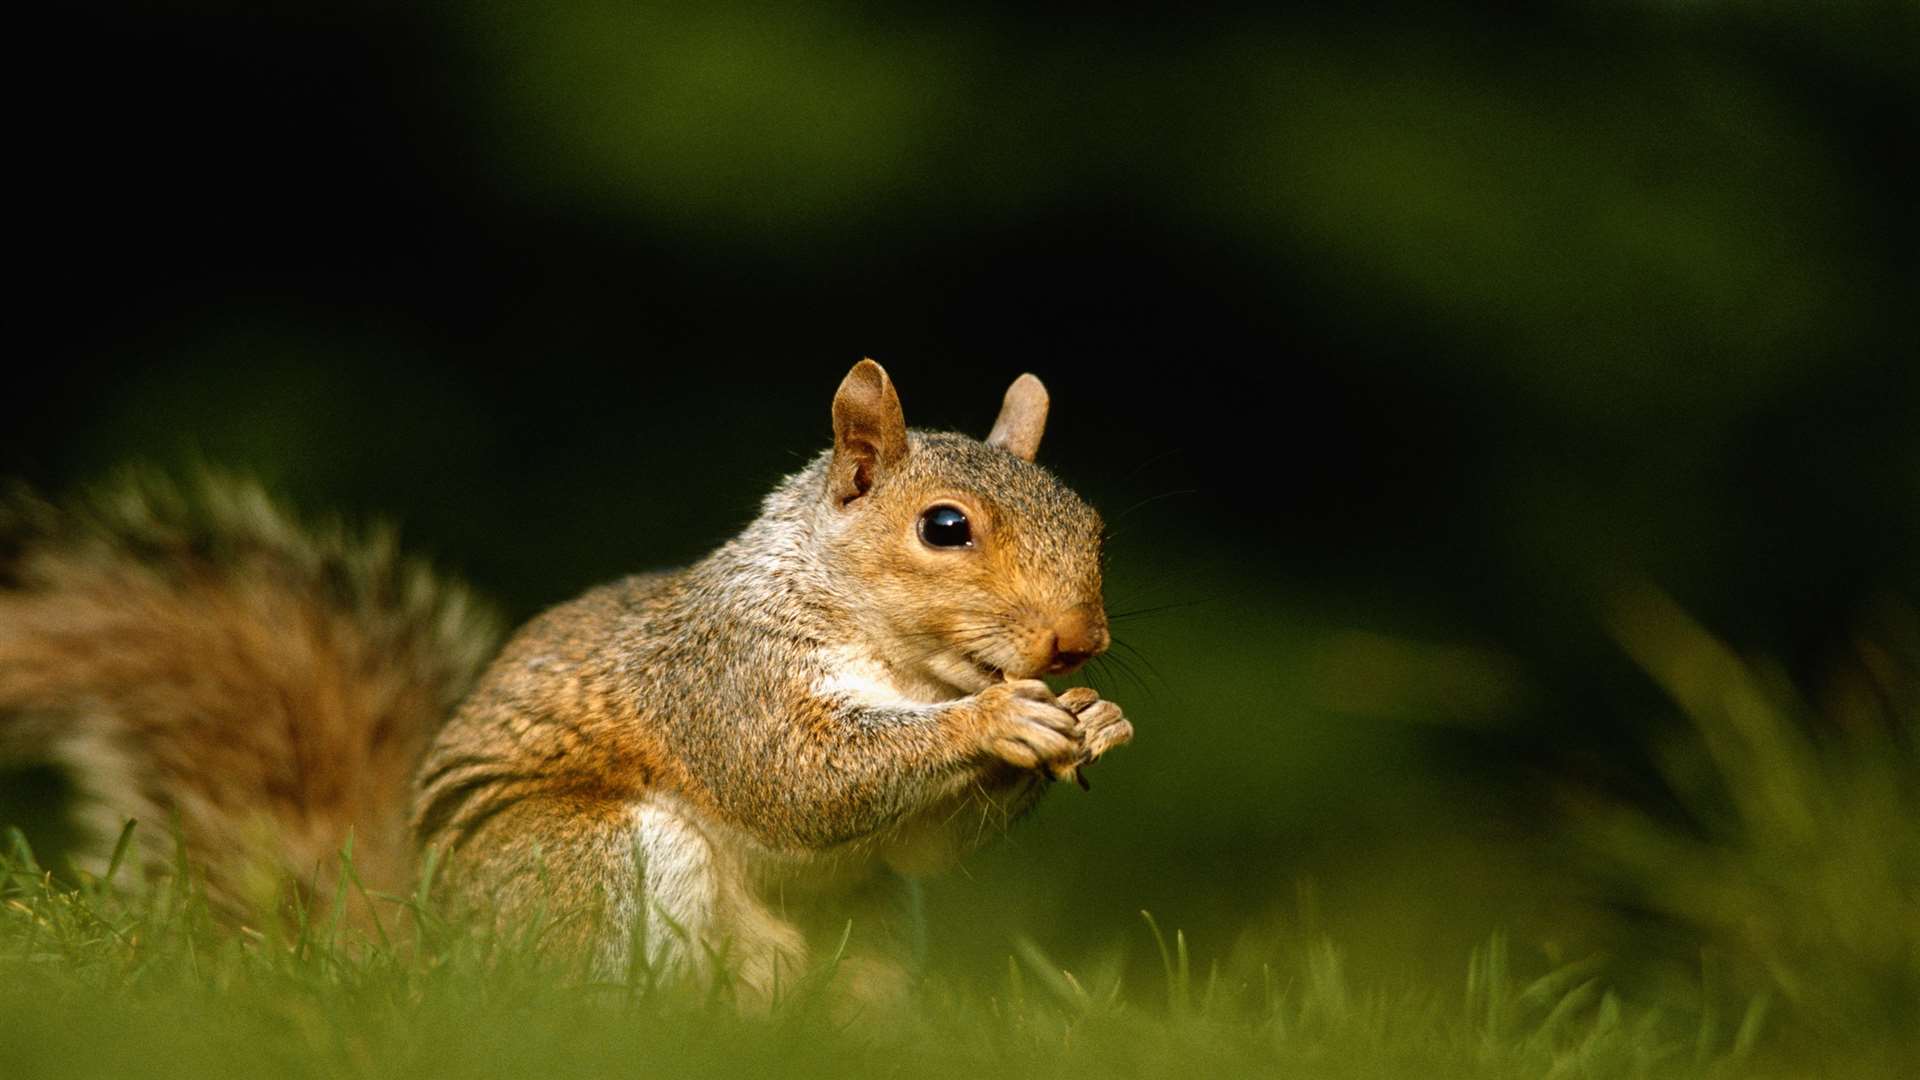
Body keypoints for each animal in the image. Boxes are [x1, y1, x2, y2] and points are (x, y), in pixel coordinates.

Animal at [0, 359, 1121, 991]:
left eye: (1094, 522)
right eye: (945, 528)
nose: (1079, 643)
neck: (906, 667)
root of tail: (421, 952)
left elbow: (922, 843)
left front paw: (1097, 718)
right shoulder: (722, 676)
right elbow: (795, 778)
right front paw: (994, 724)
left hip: (873, 929)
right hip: (577, 863)